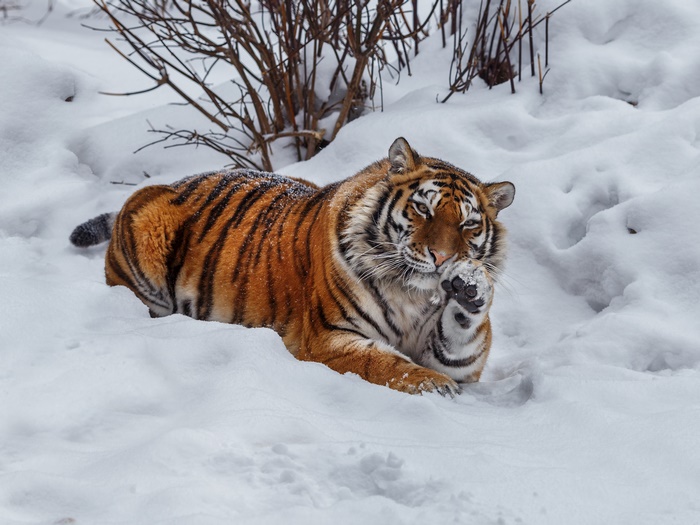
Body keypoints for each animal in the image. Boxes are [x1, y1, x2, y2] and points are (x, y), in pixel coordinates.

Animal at [70, 138, 515, 396]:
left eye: (469, 224)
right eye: (423, 209)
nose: (442, 258)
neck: (414, 293)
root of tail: (175, 181)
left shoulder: (459, 357)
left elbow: (460, 339)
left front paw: (471, 287)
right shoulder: (327, 337)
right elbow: (385, 363)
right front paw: (434, 387)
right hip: (147, 225)